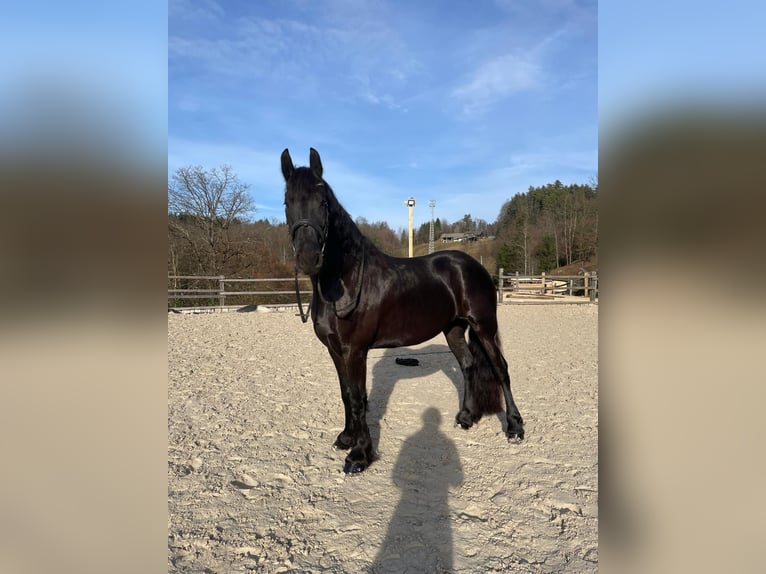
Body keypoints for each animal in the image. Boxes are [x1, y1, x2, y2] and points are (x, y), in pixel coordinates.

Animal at [281, 148, 524, 474]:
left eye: (323, 202)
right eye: (287, 202)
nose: (309, 258)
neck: (346, 279)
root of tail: (474, 266)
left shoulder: (355, 350)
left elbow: (358, 398)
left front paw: (359, 455)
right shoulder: (335, 350)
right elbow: (346, 394)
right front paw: (346, 438)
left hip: (484, 325)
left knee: (500, 369)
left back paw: (515, 428)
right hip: (454, 329)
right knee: (469, 365)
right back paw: (466, 418)